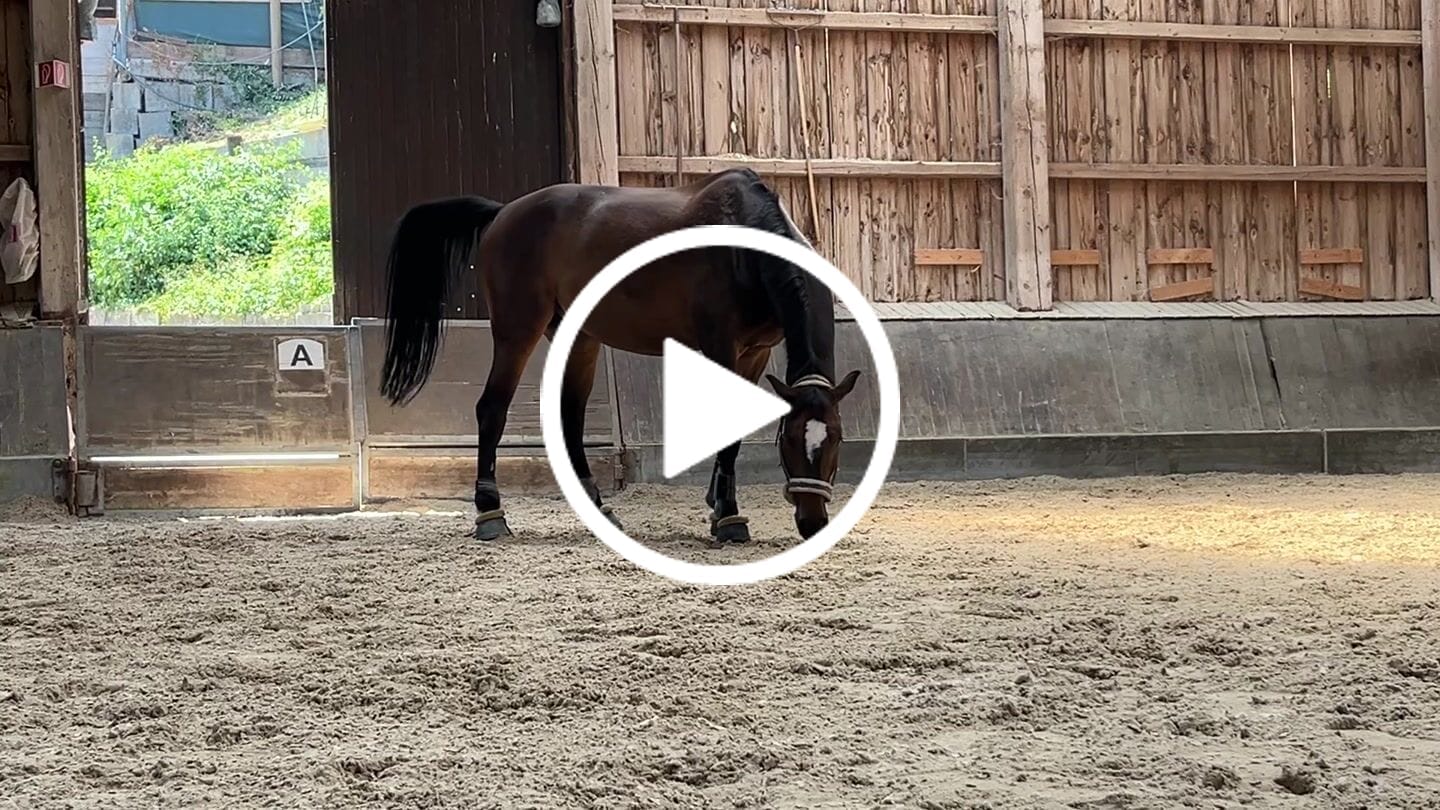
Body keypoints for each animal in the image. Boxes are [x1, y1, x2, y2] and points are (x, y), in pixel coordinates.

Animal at [376, 168, 862, 544]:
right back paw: (490, 514)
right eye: (789, 441)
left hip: (578, 336)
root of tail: (503, 212)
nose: (813, 522)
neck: (744, 245)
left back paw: (599, 510)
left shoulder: (757, 352)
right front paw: (728, 519)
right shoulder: (720, 346)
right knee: (492, 409)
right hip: (518, 331)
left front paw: (719, 506)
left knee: (569, 417)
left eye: (836, 439)